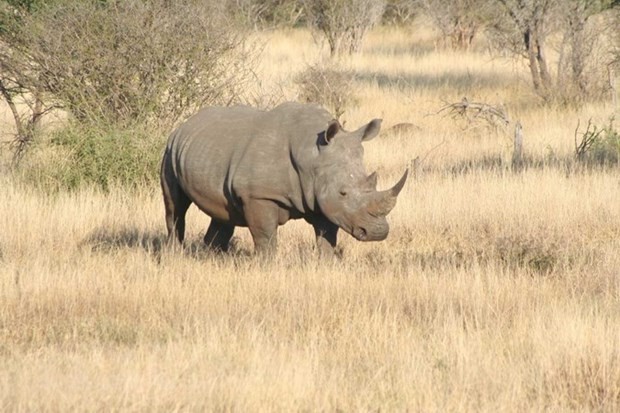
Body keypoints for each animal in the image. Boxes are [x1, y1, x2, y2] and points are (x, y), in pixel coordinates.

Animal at [161, 100, 406, 254]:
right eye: (343, 192)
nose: (377, 232)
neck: (311, 156)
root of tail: (184, 124)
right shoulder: (258, 195)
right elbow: (265, 237)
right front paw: (266, 267)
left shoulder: (323, 198)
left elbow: (327, 236)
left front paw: (326, 264)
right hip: (170, 151)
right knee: (176, 207)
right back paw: (175, 255)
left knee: (223, 213)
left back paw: (213, 257)